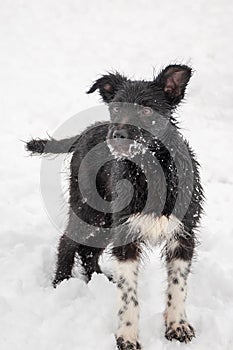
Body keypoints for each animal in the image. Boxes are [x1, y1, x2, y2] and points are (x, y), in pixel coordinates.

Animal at [26, 64, 203, 348]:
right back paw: (61, 283)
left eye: (146, 110)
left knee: (88, 251)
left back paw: (98, 278)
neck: (151, 171)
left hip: (105, 221)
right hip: (89, 211)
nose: (117, 136)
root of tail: (87, 132)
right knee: (68, 242)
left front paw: (177, 326)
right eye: (116, 109)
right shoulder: (126, 237)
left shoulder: (183, 235)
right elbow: (129, 295)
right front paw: (127, 336)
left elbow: (178, 287)